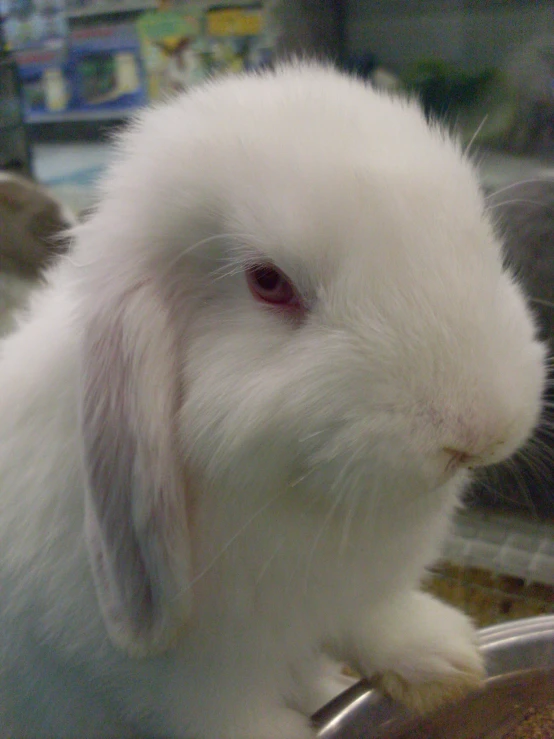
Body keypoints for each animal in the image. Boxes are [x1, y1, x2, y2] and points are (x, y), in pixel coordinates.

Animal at [0, 65, 544, 739]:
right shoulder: (186, 688)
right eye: (268, 283)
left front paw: (446, 661)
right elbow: (231, 713)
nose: (478, 432)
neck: (303, 504)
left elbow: (377, 620)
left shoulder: (361, 595)